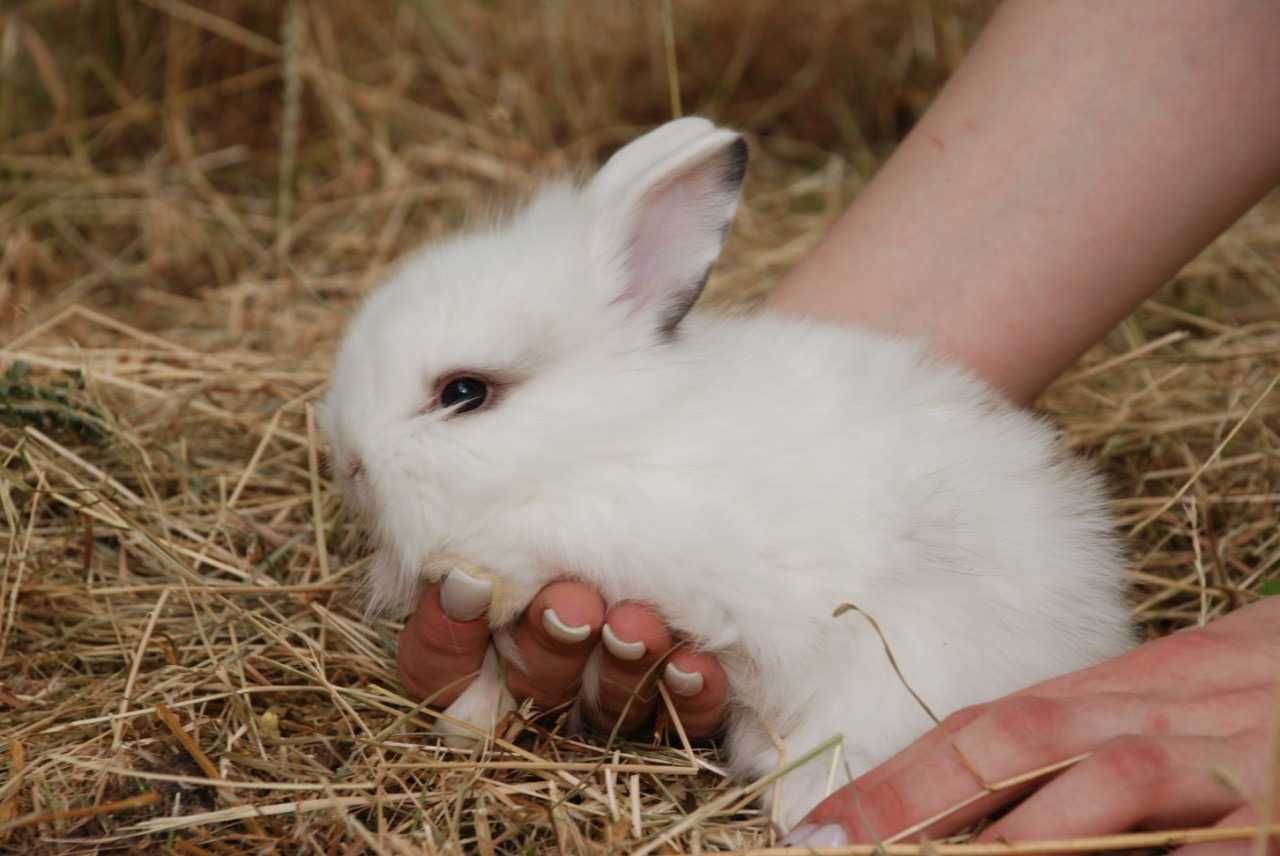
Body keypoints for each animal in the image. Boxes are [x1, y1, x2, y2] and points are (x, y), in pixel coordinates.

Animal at [320, 117, 1131, 829]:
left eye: (465, 392)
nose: (350, 460)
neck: (599, 438)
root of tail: (1092, 632)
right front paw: (471, 721)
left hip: (896, 674)